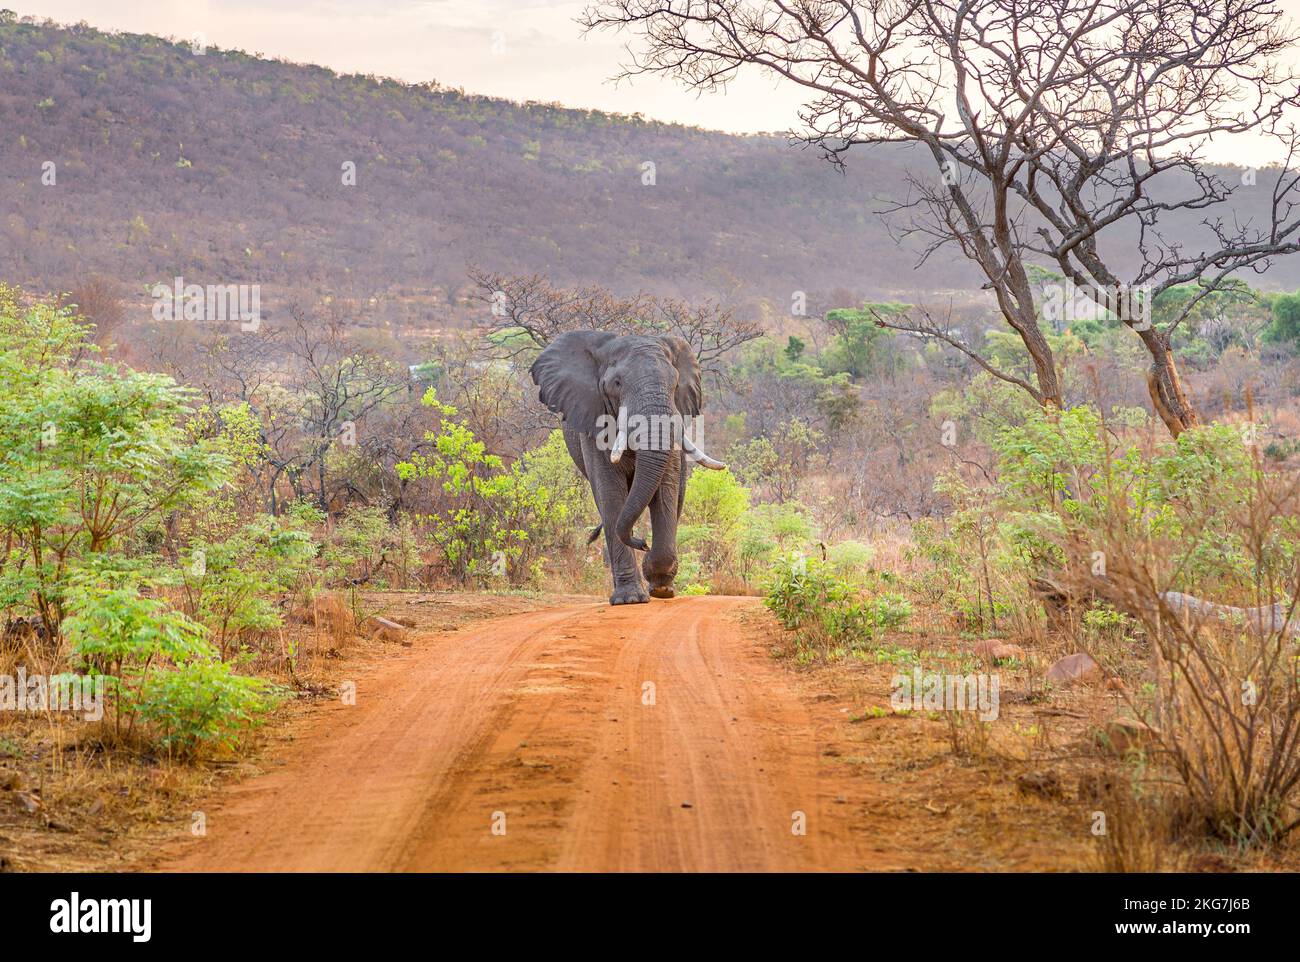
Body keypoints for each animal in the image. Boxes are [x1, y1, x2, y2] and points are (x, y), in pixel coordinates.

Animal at [531, 330, 727, 605]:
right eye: (616, 384)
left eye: (675, 384)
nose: (642, 543)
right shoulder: (594, 419)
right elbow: (611, 493)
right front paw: (630, 599)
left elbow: (665, 489)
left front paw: (661, 589)